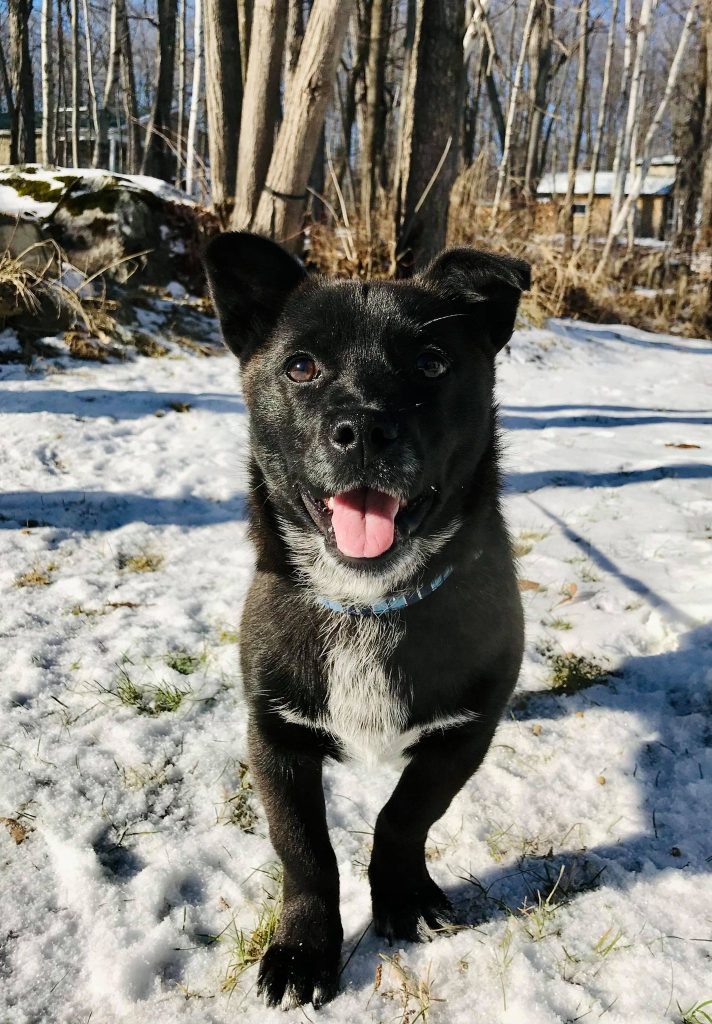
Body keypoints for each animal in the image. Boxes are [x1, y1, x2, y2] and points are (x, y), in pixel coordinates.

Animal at [203, 232, 530, 1009]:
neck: (367, 602)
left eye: (433, 362)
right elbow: (304, 851)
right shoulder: (275, 739)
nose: (364, 429)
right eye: (301, 365)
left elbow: (404, 815)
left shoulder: (463, 736)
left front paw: (403, 897)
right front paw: (302, 948)